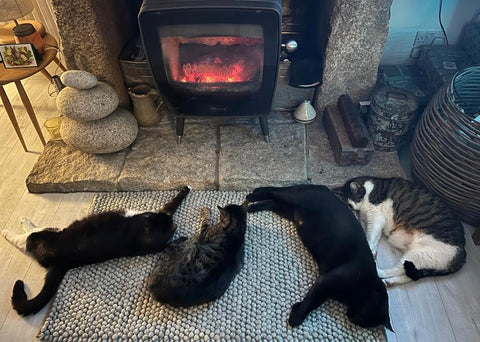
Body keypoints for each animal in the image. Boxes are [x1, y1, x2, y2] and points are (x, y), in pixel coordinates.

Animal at [1, 186, 190, 316]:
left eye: (151, 217)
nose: (153, 215)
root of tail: (62, 262)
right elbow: (173, 203)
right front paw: (186, 189)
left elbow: (170, 204)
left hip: (49, 235)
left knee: (26, 238)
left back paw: (11, 228)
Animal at [246, 186, 392, 330]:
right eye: (361, 316)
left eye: (363, 323)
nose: (350, 317)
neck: (366, 283)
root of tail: (323, 188)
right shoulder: (325, 281)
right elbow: (310, 302)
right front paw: (296, 317)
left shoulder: (325, 288)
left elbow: (313, 302)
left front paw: (296, 308)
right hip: (294, 199)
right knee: (275, 192)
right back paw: (253, 197)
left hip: (288, 210)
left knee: (273, 202)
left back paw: (253, 206)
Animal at [336, 176, 466, 286]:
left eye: (350, 203)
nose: (353, 209)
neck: (368, 190)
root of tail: (462, 255)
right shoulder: (378, 223)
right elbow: (375, 238)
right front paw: (373, 251)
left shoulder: (376, 216)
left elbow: (370, 236)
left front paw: (369, 249)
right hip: (418, 260)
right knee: (409, 276)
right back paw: (389, 282)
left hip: (419, 254)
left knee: (396, 270)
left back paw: (377, 270)